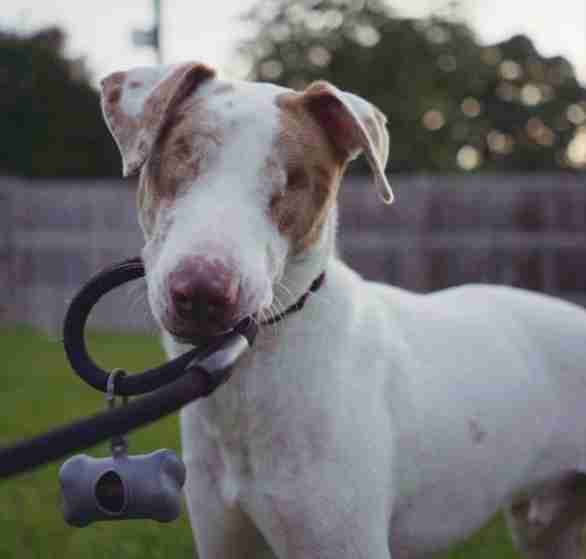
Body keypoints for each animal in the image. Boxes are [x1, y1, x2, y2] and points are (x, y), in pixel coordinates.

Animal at [99, 63, 584, 556]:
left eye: (293, 179)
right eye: (181, 156)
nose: (202, 292)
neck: (251, 383)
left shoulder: (344, 539)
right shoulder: (224, 538)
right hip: (547, 530)